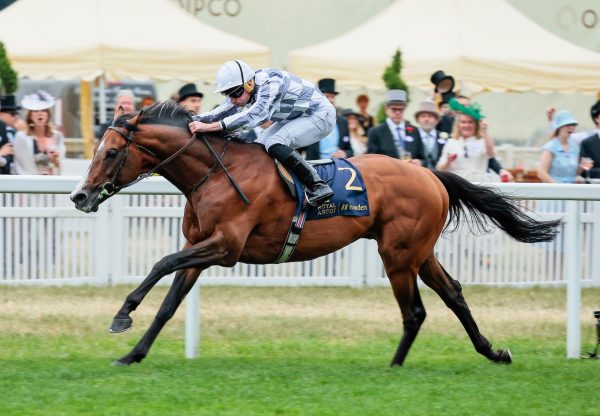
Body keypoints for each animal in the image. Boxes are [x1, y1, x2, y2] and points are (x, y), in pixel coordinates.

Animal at [71, 101, 564, 368]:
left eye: (110, 152)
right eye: (95, 150)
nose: (80, 195)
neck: (214, 172)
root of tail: (429, 173)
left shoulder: (224, 247)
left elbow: (160, 263)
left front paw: (122, 316)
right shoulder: (201, 249)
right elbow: (169, 305)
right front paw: (133, 353)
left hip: (398, 255)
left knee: (415, 311)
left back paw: (395, 366)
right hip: (420, 253)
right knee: (454, 295)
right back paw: (492, 352)